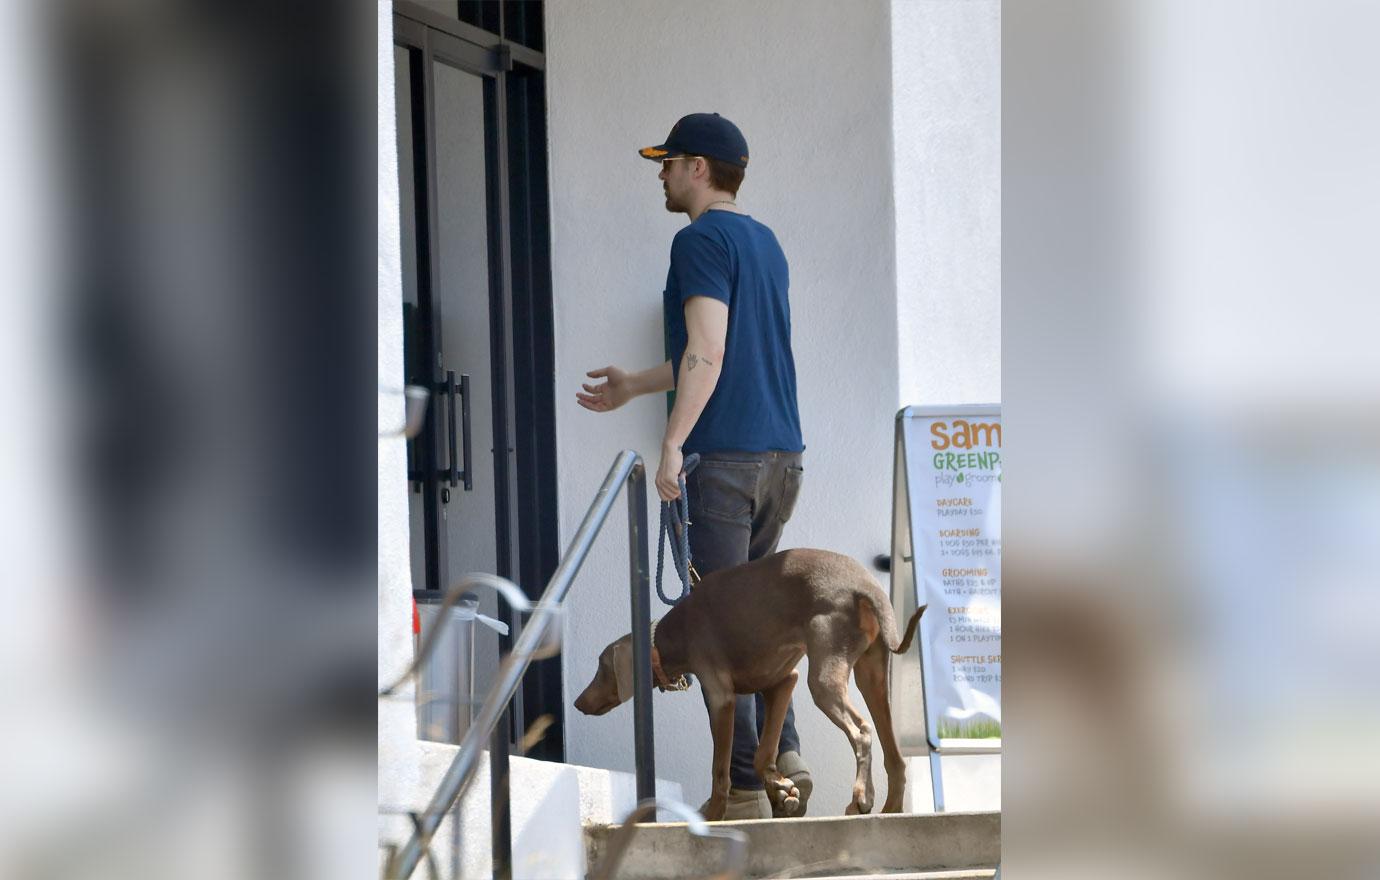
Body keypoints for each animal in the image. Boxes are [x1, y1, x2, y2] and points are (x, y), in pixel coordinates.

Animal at [571, 548, 916, 822]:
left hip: (824, 679)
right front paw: (784, 787)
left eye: (600, 668)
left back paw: (861, 800)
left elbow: (720, 770)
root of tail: (865, 585)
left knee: (862, 732)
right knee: (895, 754)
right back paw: (892, 808)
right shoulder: (782, 683)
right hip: (872, 675)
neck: (675, 632)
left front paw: (713, 816)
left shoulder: (721, 698)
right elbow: (762, 755)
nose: (577, 702)